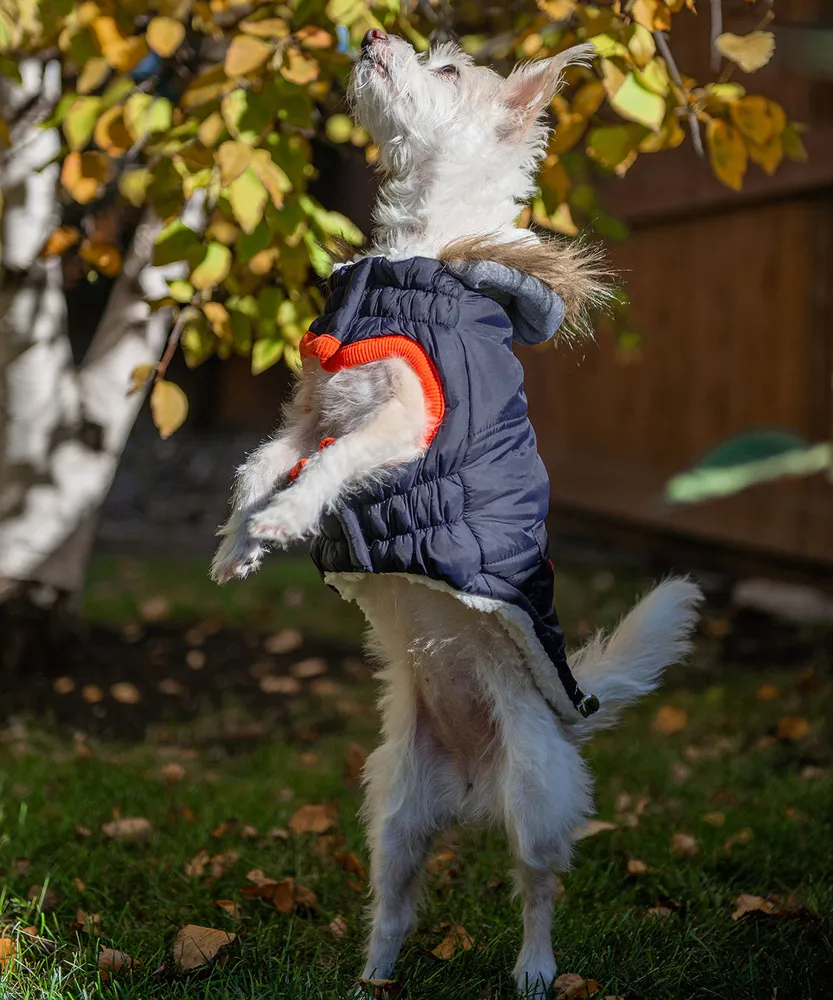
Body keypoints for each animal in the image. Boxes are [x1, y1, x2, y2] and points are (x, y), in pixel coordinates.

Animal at [210, 31, 704, 1000]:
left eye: (445, 70)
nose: (370, 35)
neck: (414, 257)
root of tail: (474, 783)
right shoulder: (308, 413)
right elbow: (257, 465)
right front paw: (239, 543)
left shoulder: (398, 423)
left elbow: (331, 468)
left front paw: (287, 521)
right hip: (395, 810)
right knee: (397, 905)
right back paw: (372, 976)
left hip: (537, 800)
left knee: (537, 888)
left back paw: (536, 971)